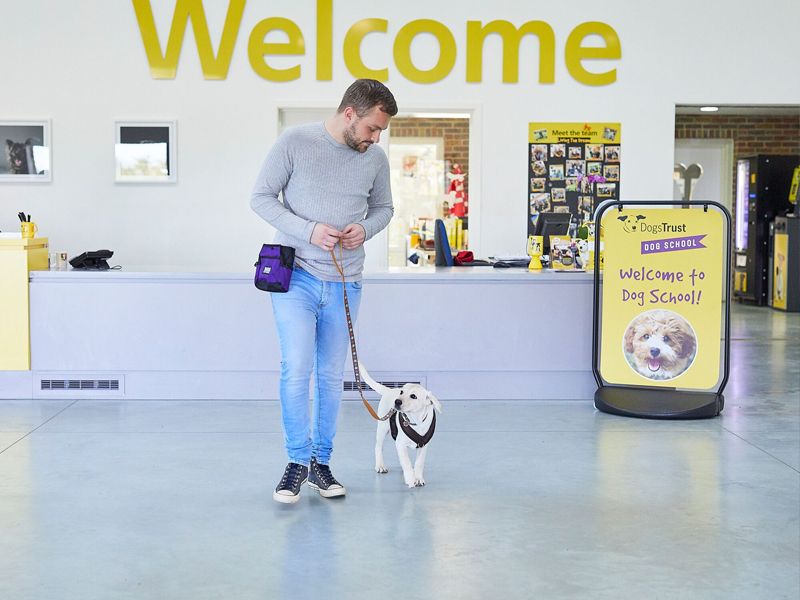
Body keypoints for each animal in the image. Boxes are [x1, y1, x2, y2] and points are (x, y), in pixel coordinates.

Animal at [358, 360, 440, 488]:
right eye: (402, 392)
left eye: (413, 396)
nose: (397, 401)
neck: (415, 421)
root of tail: (390, 390)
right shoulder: (401, 444)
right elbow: (406, 462)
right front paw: (410, 479)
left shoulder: (423, 445)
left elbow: (419, 463)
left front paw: (418, 478)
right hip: (382, 428)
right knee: (378, 447)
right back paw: (380, 465)